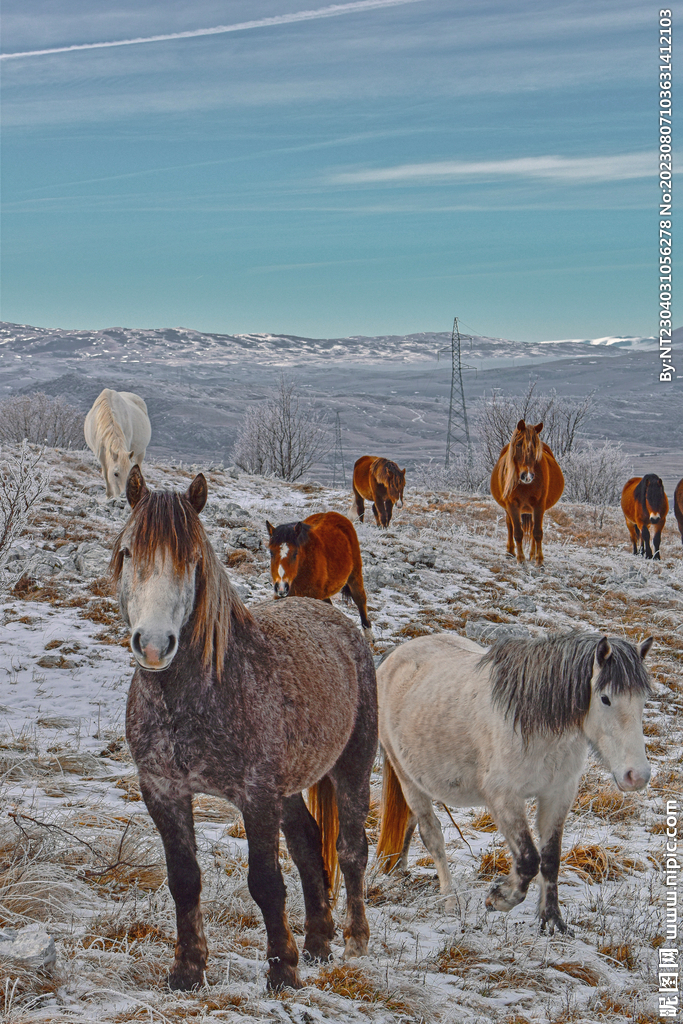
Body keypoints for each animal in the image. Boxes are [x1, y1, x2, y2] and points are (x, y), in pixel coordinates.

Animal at [375, 630, 652, 934]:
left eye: (642, 700)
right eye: (605, 699)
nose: (637, 776)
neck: (534, 724)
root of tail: (393, 658)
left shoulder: (558, 794)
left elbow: (550, 859)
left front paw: (552, 921)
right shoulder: (504, 798)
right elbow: (529, 859)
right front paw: (499, 898)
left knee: (409, 822)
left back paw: (399, 868)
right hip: (408, 779)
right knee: (432, 836)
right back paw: (450, 901)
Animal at [490, 420, 564, 566]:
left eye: (536, 447)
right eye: (519, 444)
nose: (527, 476)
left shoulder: (539, 505)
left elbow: (537, 533)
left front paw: (539, 560)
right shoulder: (512, 505)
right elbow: (518, 532)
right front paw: (520, 559)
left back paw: (532, 555)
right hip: (509, 509)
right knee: (510, 526)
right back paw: (510, 552)